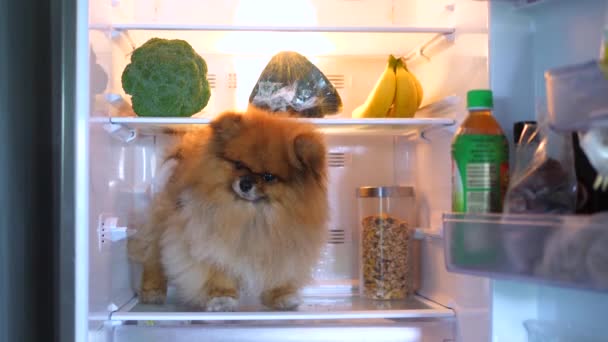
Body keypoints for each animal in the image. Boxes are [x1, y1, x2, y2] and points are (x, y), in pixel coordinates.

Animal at [127, 108, 328, 312]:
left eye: (268, 177)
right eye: (238, 164)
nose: (245, 184)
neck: (253, 216)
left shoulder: (284, 249)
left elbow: (279, 275)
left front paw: (281, 296)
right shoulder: (213, 245)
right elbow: (220, 272)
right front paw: (222, 298)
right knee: (152, 257)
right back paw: (153, 291)